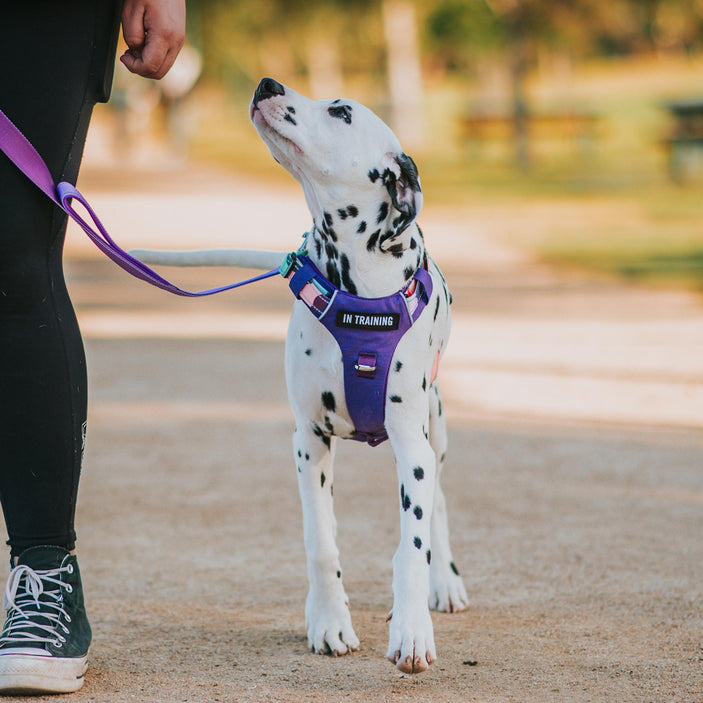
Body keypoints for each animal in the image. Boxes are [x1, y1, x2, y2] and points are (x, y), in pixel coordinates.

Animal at [135, 78, 470, 676]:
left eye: (341, 112)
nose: (267, 84)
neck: (361, 291)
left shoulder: (412, 446)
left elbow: (411, 546)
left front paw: (411, 629)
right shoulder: (308, 441)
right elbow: (321, 541)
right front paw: (330, 621)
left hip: (435, 428)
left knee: (437, 504)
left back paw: (445, 583)